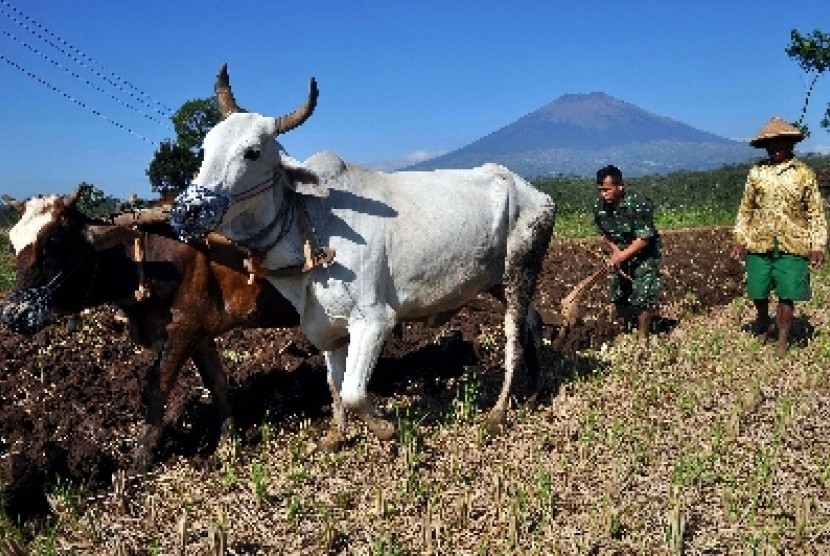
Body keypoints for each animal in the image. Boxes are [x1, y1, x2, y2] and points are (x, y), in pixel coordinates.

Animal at [1, 189, 300, 466]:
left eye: (54, 243)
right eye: (13, 244)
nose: (13, 314)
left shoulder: (182, 330)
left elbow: (158, 388)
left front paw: (140, 459)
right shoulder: (200, 334)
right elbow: (217, 382)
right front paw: (227, 442)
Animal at [171, 65, 556, 448]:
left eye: (251, 152)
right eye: (205, 146)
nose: (187, 211)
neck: (311, 224)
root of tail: (536, 193)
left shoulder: (374, 321)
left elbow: (354, 392)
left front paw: (385, 428)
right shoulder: (327, 326)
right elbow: (334, 385)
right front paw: (335, 435)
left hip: (520, 269)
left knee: (513, 337)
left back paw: (500, 411)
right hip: (498, 281)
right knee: (532, 320)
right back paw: (534, 391)